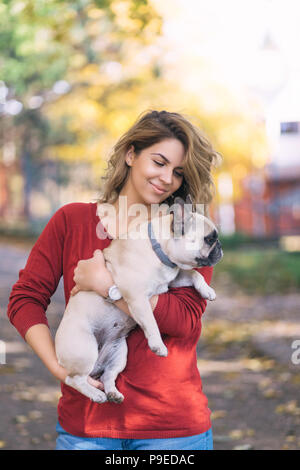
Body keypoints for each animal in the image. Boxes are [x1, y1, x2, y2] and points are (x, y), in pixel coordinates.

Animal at [55, 198, 221, 404]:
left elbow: (194, 274)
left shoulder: (173, 279)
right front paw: (158, 345)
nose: (220, 246)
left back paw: (113, 393)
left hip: (119, 355)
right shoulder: (137, 297)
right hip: (84, 348)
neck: (159, 249)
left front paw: (207, 290)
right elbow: (151, 321)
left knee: (108, 376)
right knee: (74, 379)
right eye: (209, 239)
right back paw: (96, 394)